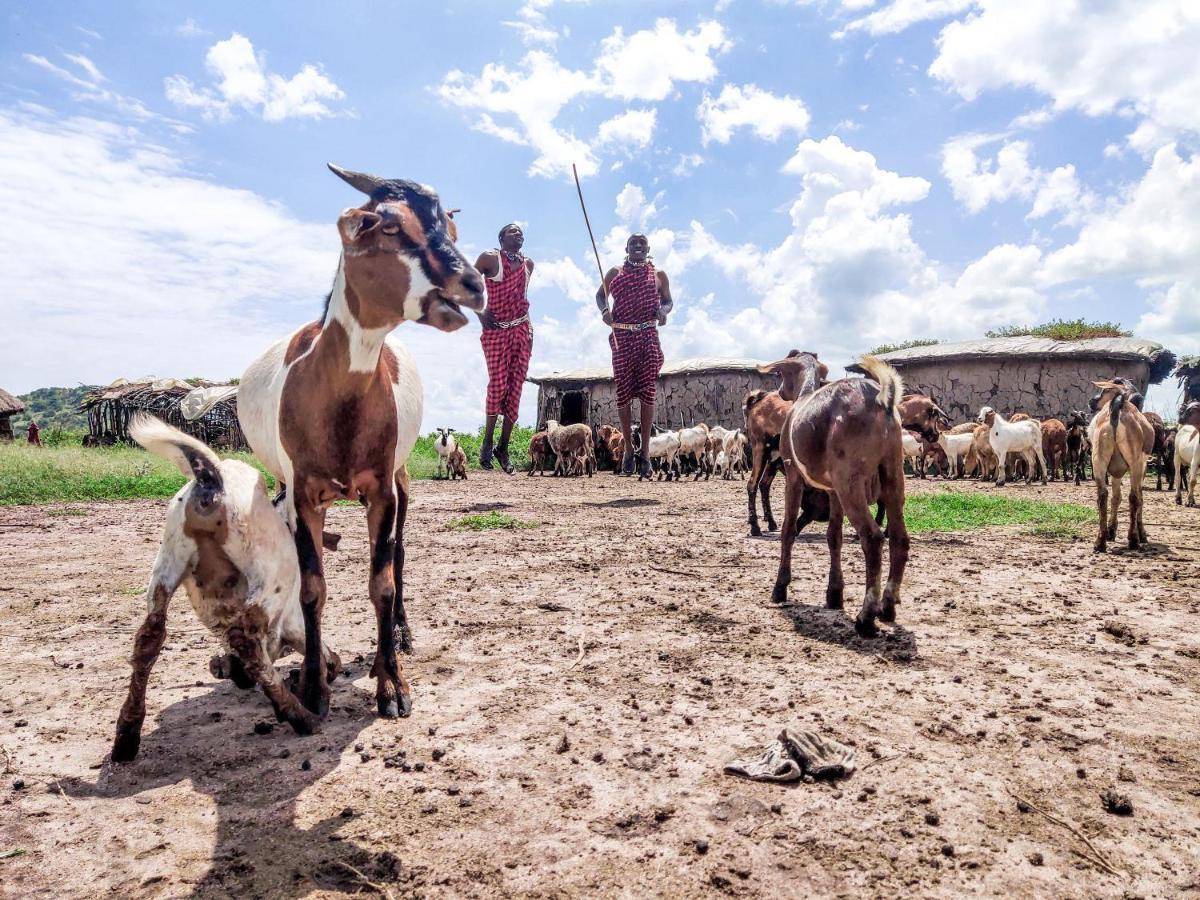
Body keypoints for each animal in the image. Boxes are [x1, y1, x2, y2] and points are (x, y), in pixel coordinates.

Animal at [112, 415, 340, 763]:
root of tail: (210, 476)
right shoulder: (295, 625)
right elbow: (325, 655)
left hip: (168, 562)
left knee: (149, 637)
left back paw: (127, 735)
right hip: (271, 574)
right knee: (246, 639)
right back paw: (302, 718)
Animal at [238, 164, 487, 724]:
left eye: (450, 228)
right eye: (386, 224)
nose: (474, 284)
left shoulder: (381, 491)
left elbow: (382, 581)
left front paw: (391, 683)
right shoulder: (303, 494)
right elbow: (312, 588)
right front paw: (312, 685)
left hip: (401, 480)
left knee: (399, 553)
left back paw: (399, 636)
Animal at [1089, 379, 1152, 554]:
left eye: (1104, 391)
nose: (1091, 401)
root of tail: (1118, 407)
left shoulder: (1115, 472)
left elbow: (1116, 497)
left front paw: (1111, 531)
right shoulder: (1142, 466)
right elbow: (1139, 498)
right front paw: (1142, 533)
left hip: (1098, 458)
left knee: (1102, 495)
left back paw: (1100, 541)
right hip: (1135, 463)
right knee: (1135, 497)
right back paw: (1134, 539)